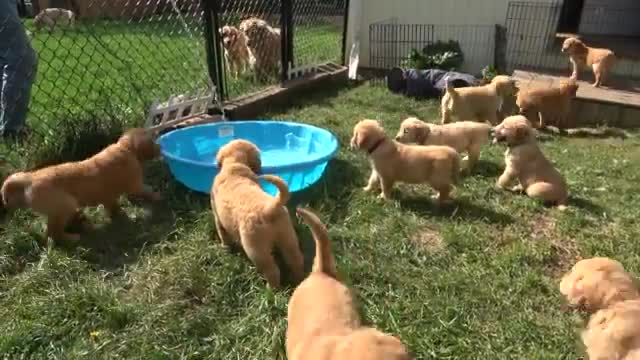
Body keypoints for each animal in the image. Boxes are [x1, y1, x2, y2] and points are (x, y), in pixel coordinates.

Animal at [0, 128, 160, 243]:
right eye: (153, 140)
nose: (159, 147)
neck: (125, 148)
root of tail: (29, 179)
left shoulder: (108, 197)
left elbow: (113, 207)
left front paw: (120, 216)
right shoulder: (135, 184)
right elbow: (145, 190)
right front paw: (157, 195)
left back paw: (81, 221)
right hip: (64, 205)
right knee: (52, 233)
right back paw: (72, 238)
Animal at [211, 139, 304, 288]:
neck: (235, 164)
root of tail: (270, 208)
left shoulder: (217, 215)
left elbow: (222, 233)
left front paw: (225, 248)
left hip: (255, 248)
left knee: (272, 271)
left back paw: (270, 289)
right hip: (288, 236)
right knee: (295, 260)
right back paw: (298, 280)